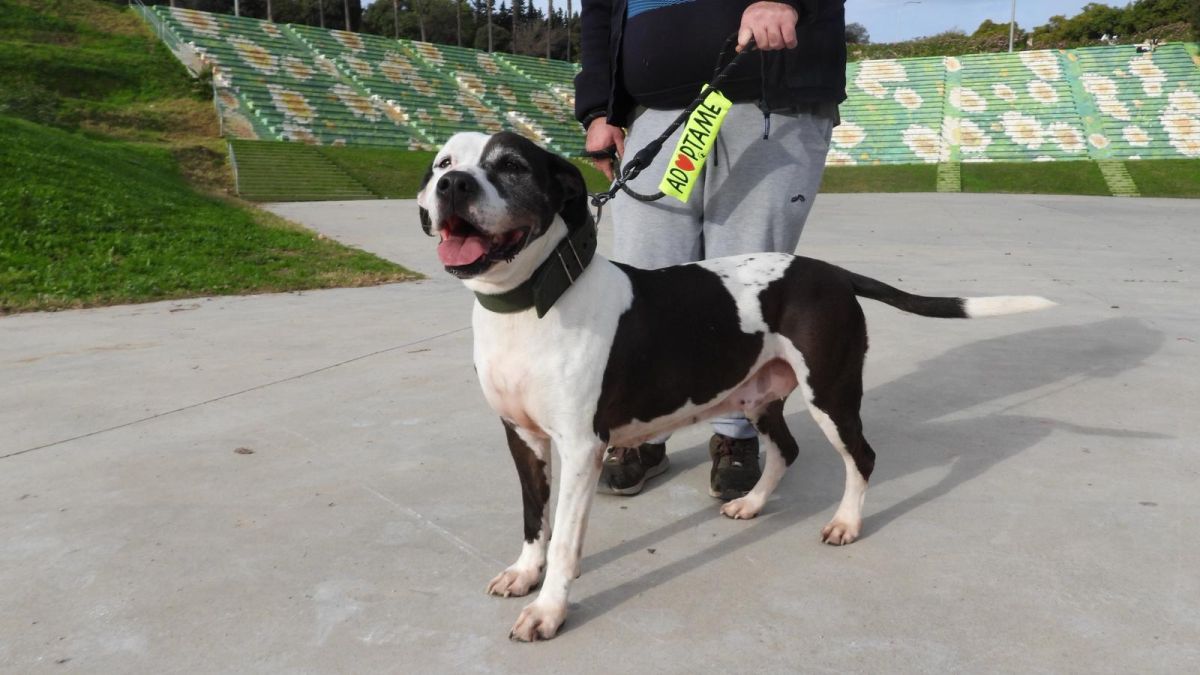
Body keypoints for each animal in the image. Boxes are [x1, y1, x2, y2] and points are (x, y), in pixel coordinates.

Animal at [417, 131, 1054, 641]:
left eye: (511, 166)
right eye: (443, 161)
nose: (452, 184)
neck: (531, 305)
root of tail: (830, 271)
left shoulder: (579, 449)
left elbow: (565, 541)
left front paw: (549, 609)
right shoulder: (522, 437)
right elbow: (534, 520)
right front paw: (525, 573)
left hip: (831, 393)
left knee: (862, 456)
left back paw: (847, 523)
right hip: (759, 393)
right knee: (788, 448)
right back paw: (751, 502)